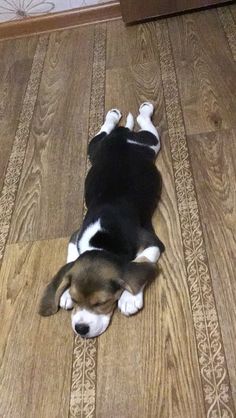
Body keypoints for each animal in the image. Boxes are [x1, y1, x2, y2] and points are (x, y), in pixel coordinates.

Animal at [38, 103, 164, 338]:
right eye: (76, 299)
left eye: (101, 303)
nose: (81, 329)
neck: (102, 241)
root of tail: (122, 136)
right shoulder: (75, 236)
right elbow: (72, 257)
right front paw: (64, 292)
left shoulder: (152, 242)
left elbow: (141, 260)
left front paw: (129, 298)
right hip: (94, 147)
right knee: (104, 130)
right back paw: (113, 115)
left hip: (150, 143)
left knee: (147, 126)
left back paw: (144, 109)